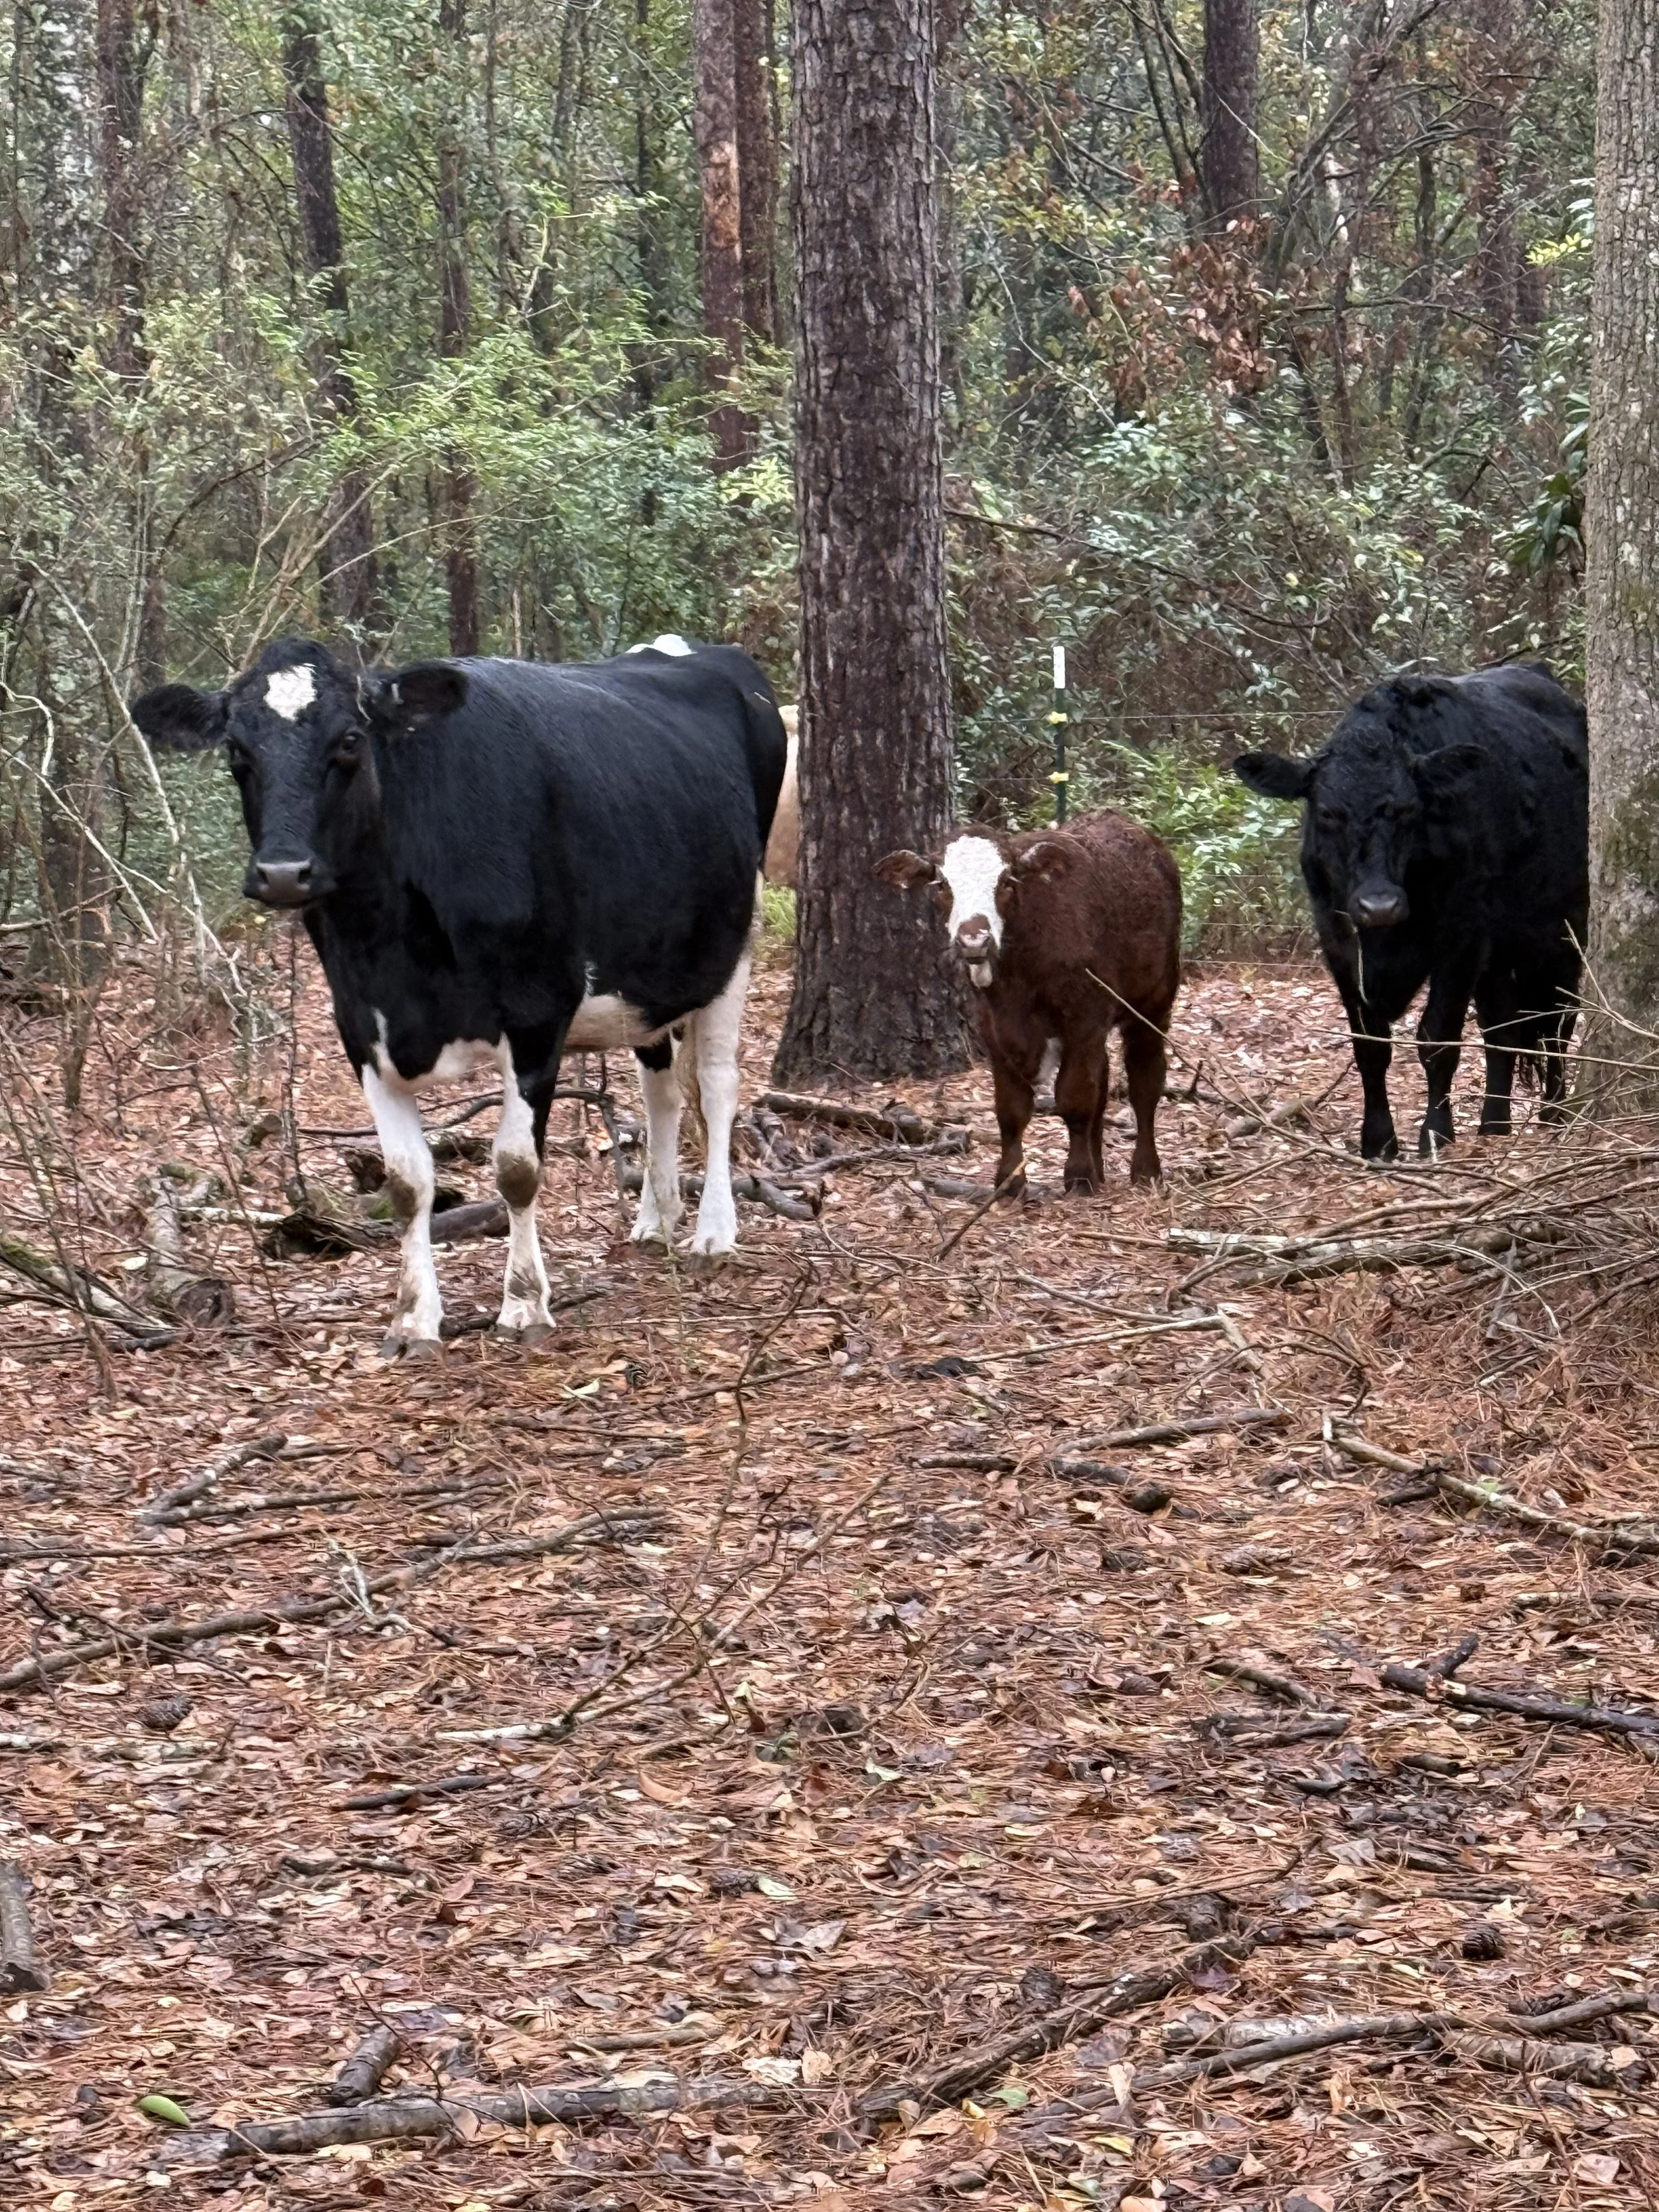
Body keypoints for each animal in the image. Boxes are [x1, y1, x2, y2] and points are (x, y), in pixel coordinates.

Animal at [130, 634, 787, 1356]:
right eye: (236, 750)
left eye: (351, 740)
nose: (282, 872)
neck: (391, 949)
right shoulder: (361, 1029)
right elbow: (407, 1182)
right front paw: (413, 1318)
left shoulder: (537, 1016)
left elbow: (517, 1170)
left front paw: (524, 1303)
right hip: (649, 976)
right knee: (661, 1090)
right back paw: (657, 1218)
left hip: (739, 937)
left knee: (718, 1085)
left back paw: (714, 1231)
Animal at [877, 812, 1182, 1195]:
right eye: (943, 885)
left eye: (1007, 882)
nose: (974, 940)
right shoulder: (993, 1028)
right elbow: (1012, 1109)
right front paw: (1010, 1182)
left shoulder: (1084, 1019)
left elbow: (1075, 1098)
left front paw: (1079, 1176)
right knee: (1104, 1083)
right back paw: (1100, 1168)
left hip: (1153, 1004)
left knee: (1145, 1082)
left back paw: (1146, 1170)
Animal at [1233, 662, 1587, 1160]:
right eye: (1327, 813)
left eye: (1406, 810)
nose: (1379, 904)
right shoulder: (1337, 937)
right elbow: (1370, 1044)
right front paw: (1378, 1139)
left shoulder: (1461, 934)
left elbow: (1438, 1038)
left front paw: (1435, 1133)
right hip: (1500, 953)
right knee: (1502, 1028)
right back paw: (1494, 1124)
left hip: (1564, 928)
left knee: (1557, 1020)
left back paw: (1554, 1114)